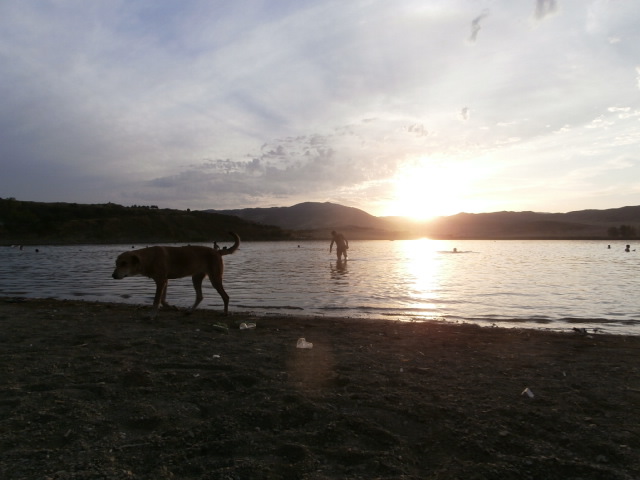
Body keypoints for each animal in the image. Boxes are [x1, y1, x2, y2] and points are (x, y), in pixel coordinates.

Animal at [110, 231, 240, 316]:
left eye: (124, 263)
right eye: (116, 263)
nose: (113, 276)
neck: (150, 258)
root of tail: (217, 251)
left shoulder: (161, 281)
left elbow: (156, 300)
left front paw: (152, 315)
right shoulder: (164, 280)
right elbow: (162, 300)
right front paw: (172, 307)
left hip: (215, 278)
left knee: (226, 296)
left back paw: (225, 313)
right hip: (196, 278)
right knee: (200, 296)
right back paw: (190, 311)